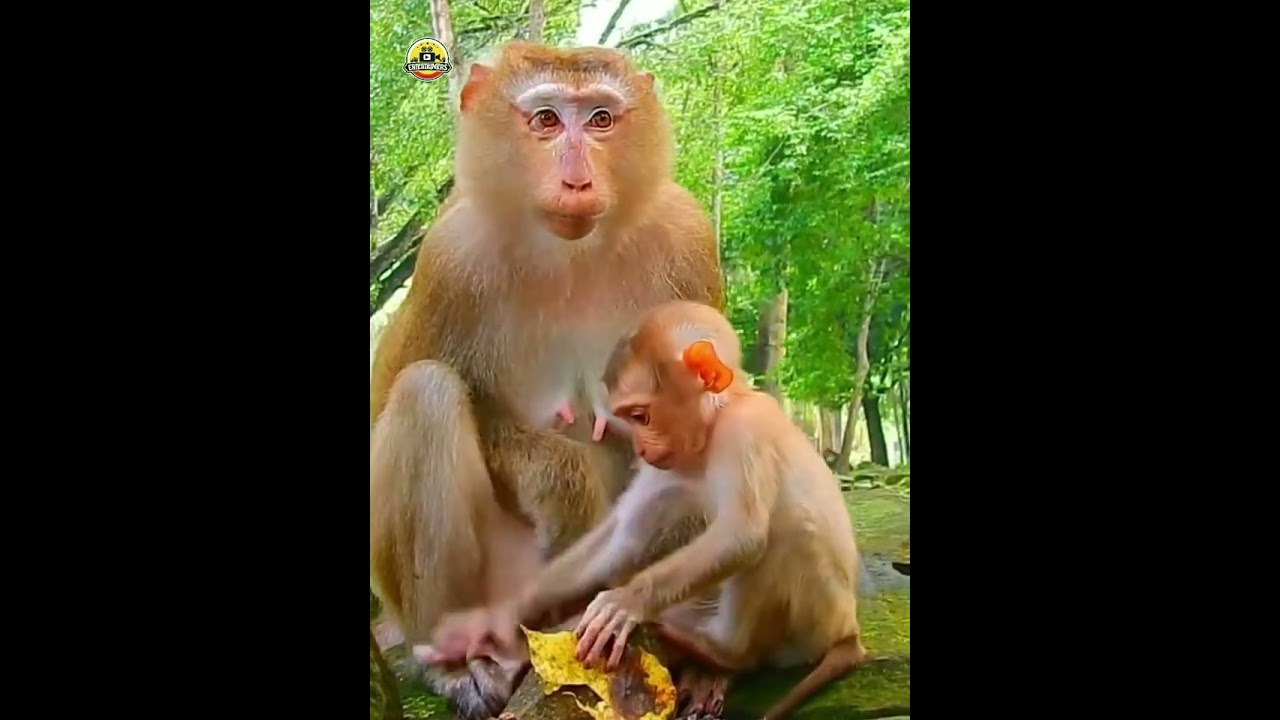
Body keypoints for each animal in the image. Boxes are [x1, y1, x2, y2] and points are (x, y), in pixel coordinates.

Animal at [369, 42, 723, 720]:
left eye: (602, 119)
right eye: (547, 120)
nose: (577, 180)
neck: (571, 256)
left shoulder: (686, 240)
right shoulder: (451, 255)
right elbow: (405, 385)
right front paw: (563, 486)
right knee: (426, 391)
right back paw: (460, 662)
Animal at [421, 300, 868, 720]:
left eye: (640, 415)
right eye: (628, 418)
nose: (638, 446)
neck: (715, 424)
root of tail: (849, 630)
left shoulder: (744, 431)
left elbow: (742, 534)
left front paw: (626, 602)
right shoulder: (669, 466)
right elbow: (622, 537)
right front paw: (494, 622)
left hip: (815, 619)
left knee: (784, 533)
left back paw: (722, 652)